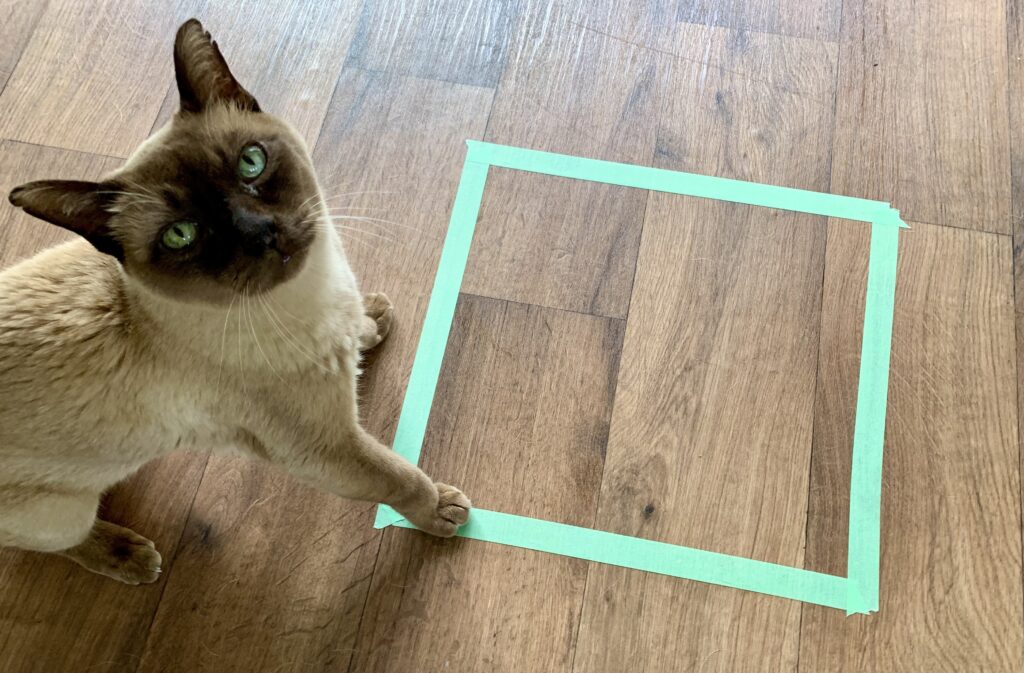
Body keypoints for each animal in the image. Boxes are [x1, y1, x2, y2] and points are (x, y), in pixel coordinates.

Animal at [0, 18, 471, 581]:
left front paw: (370, 320)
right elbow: (399, 478)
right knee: (58, 542)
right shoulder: (325, 451)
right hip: (59, 512)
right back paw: (129, 556)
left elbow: (361, 326)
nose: (261, 233)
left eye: (252, 163)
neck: (311, 294)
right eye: (180, 235)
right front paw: (440, 509)